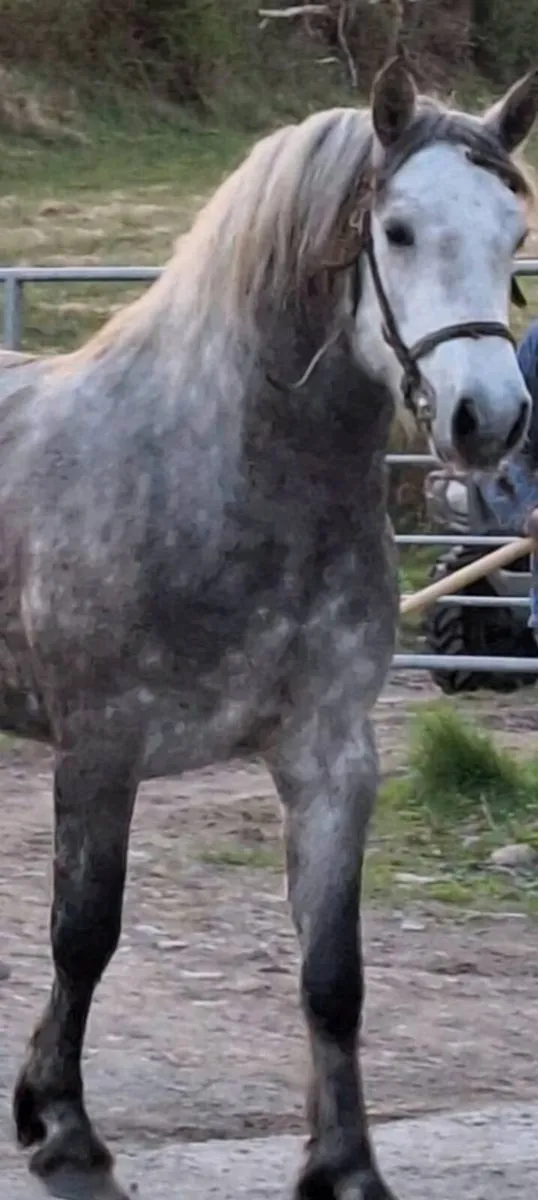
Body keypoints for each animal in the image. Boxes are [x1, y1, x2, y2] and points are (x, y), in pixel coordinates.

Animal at [4, 55, 538, 1200]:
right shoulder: (100, 749)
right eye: (396, 230)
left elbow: (332, 974)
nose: (488, 420)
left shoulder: (331, 757)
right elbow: (84, 933)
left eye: (513, 231)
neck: (220, 472)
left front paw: (344, 1164)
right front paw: (63, 1128)